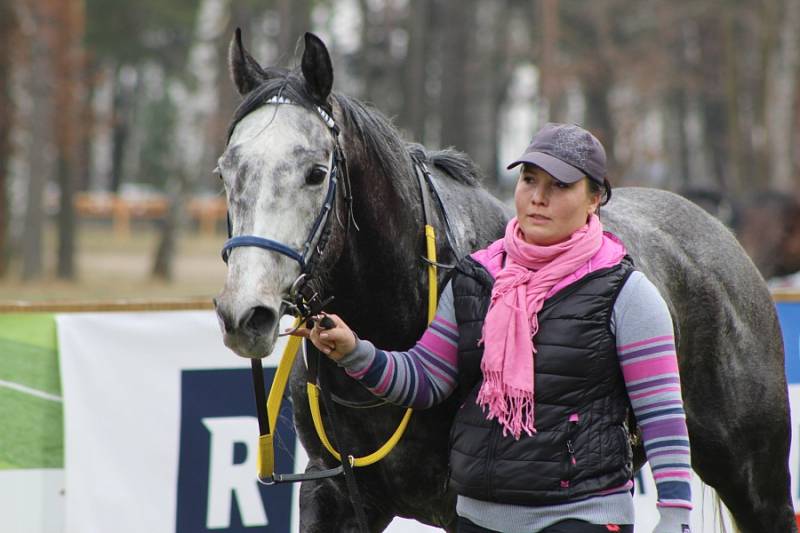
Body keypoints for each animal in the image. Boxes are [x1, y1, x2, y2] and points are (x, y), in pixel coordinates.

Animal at [211, 31, 792, 528]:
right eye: (225, 171)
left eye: (315, 172)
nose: (245, 314)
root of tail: (722, 241)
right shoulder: (335, 492)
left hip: (756, 474)